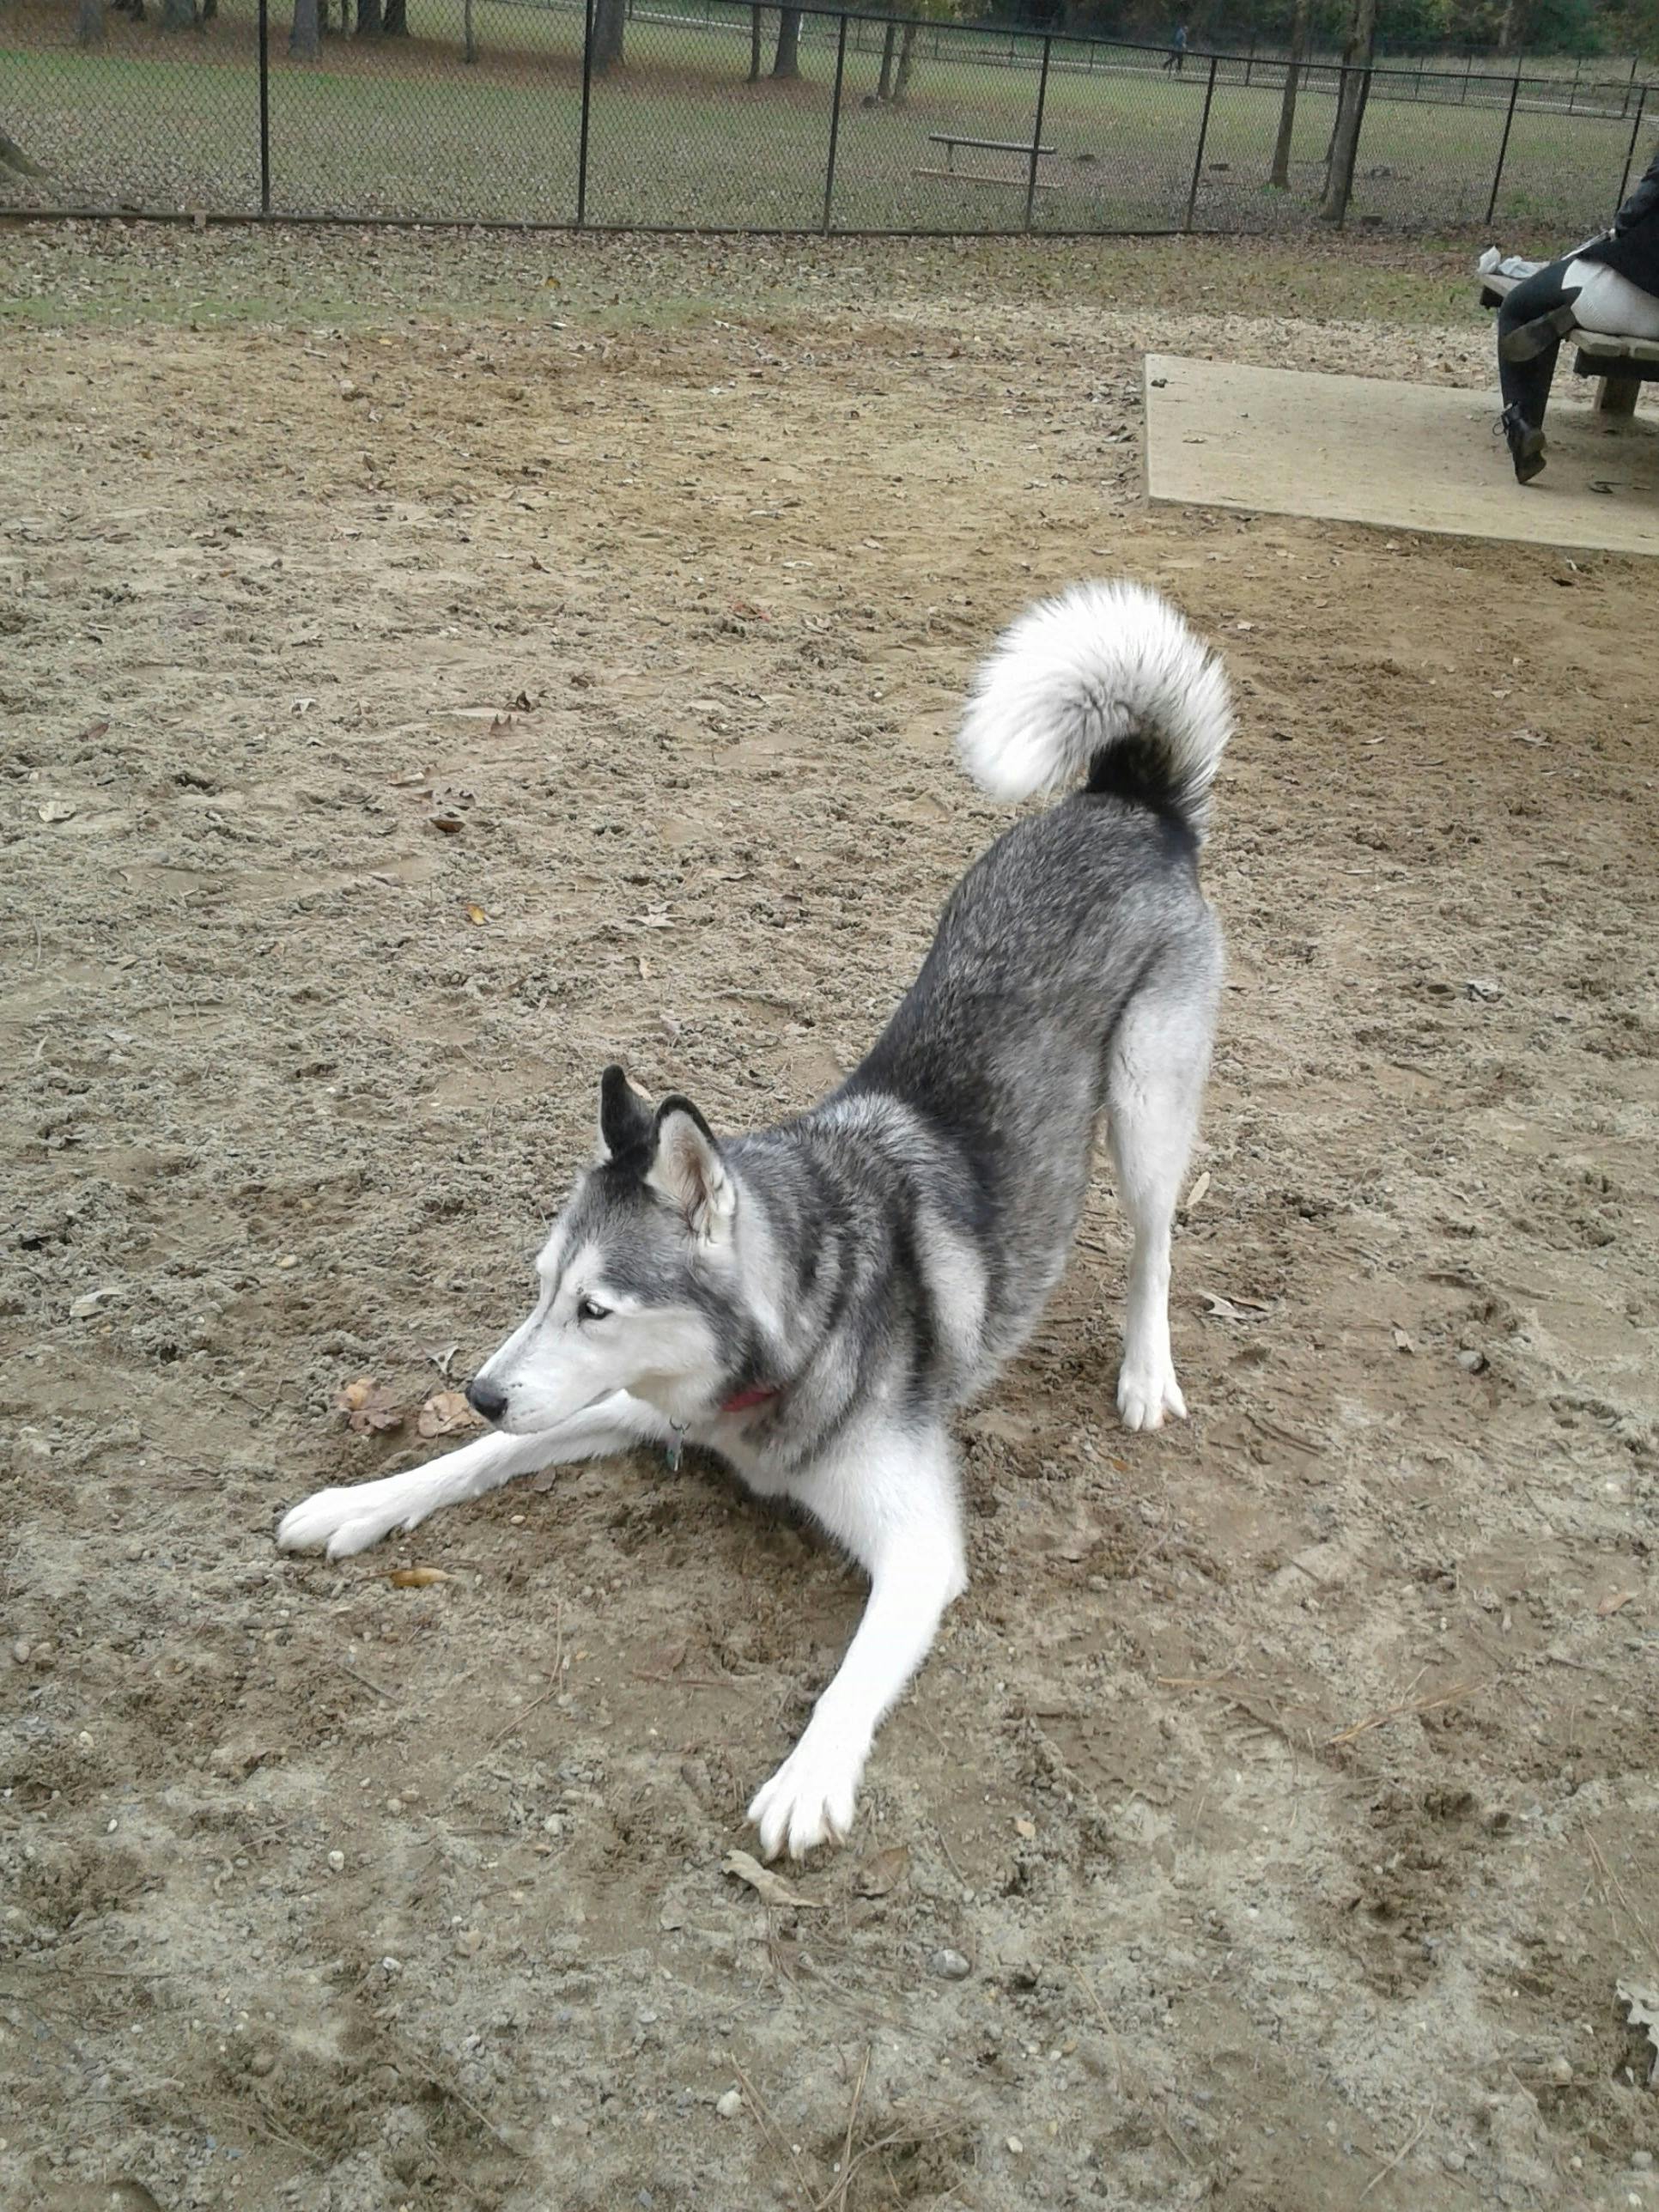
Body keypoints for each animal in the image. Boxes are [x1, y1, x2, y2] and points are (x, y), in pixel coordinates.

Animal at [279, 579, 1230, 1857]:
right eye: (539, 1286)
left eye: (597, 1305)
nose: (477, 1386)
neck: (799, 1325)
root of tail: (1129, 799)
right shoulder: (624, 1405)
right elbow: (479, 1460)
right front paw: (362, 1502)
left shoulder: (919, 1545)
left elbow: (853, 1673)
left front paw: (807, 1777)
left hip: (1144, 1108)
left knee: (1154, 1247)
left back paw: (1144, 1373)